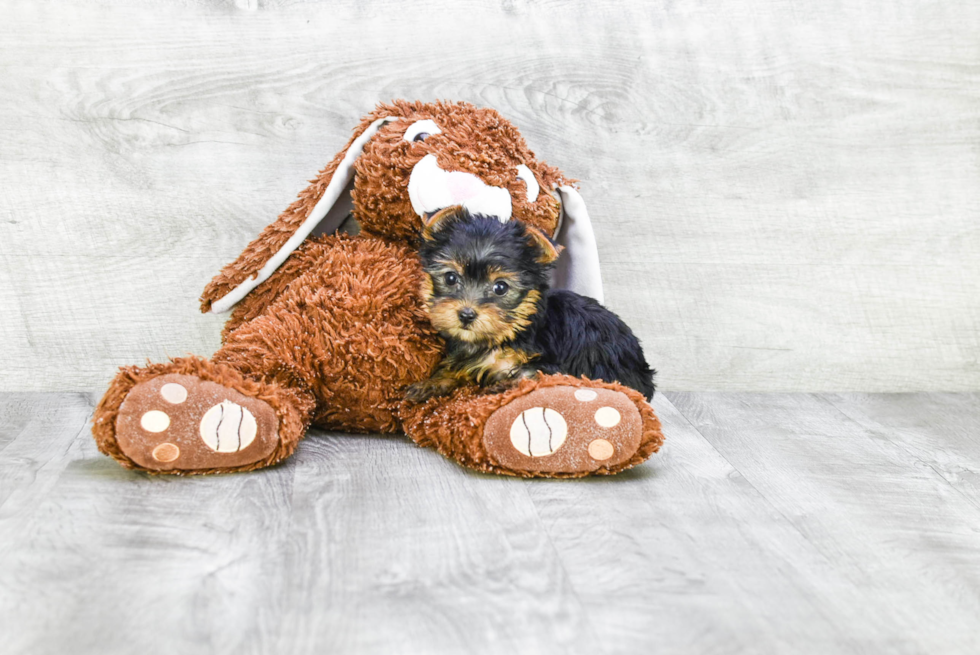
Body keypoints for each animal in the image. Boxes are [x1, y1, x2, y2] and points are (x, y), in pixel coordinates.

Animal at [402, 205, 656, 402]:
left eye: (500, 287)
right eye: (451, 278)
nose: (466, 314)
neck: (506, 334)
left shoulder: (553, 365)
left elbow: (528, 374)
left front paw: (502, 386)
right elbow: (454, 368)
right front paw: (428, 384)